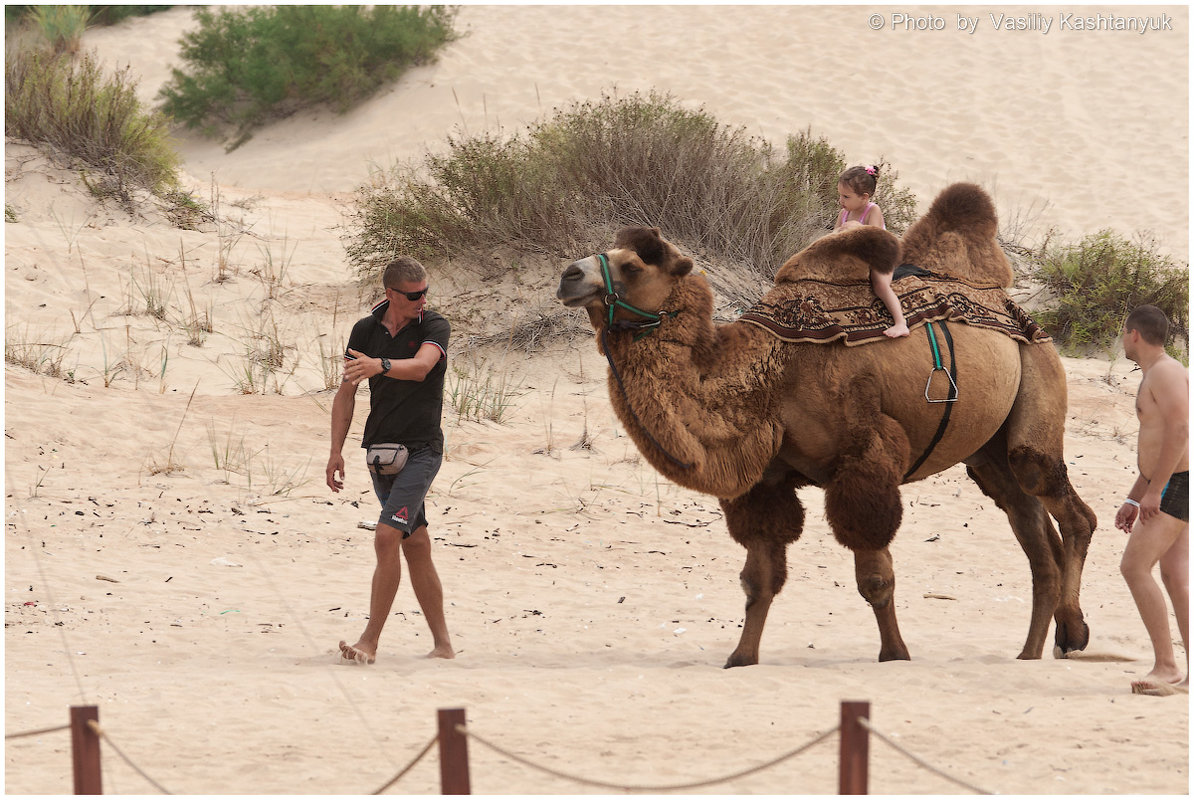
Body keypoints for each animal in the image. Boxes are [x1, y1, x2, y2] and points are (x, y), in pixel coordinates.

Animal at [554, 185, 1093, 668]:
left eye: (633, 265)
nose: (567, 275)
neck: (770, 374)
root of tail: (1018, 310)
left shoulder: (865, 455)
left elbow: (874, 578)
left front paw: (894, 655)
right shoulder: (765, 484)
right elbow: (759, 581)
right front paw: (740, 658)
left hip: (1036, 384)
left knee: (1065, 506)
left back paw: (1073, 633)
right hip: (988, 454)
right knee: (1033, 532)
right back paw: (1030, 652)